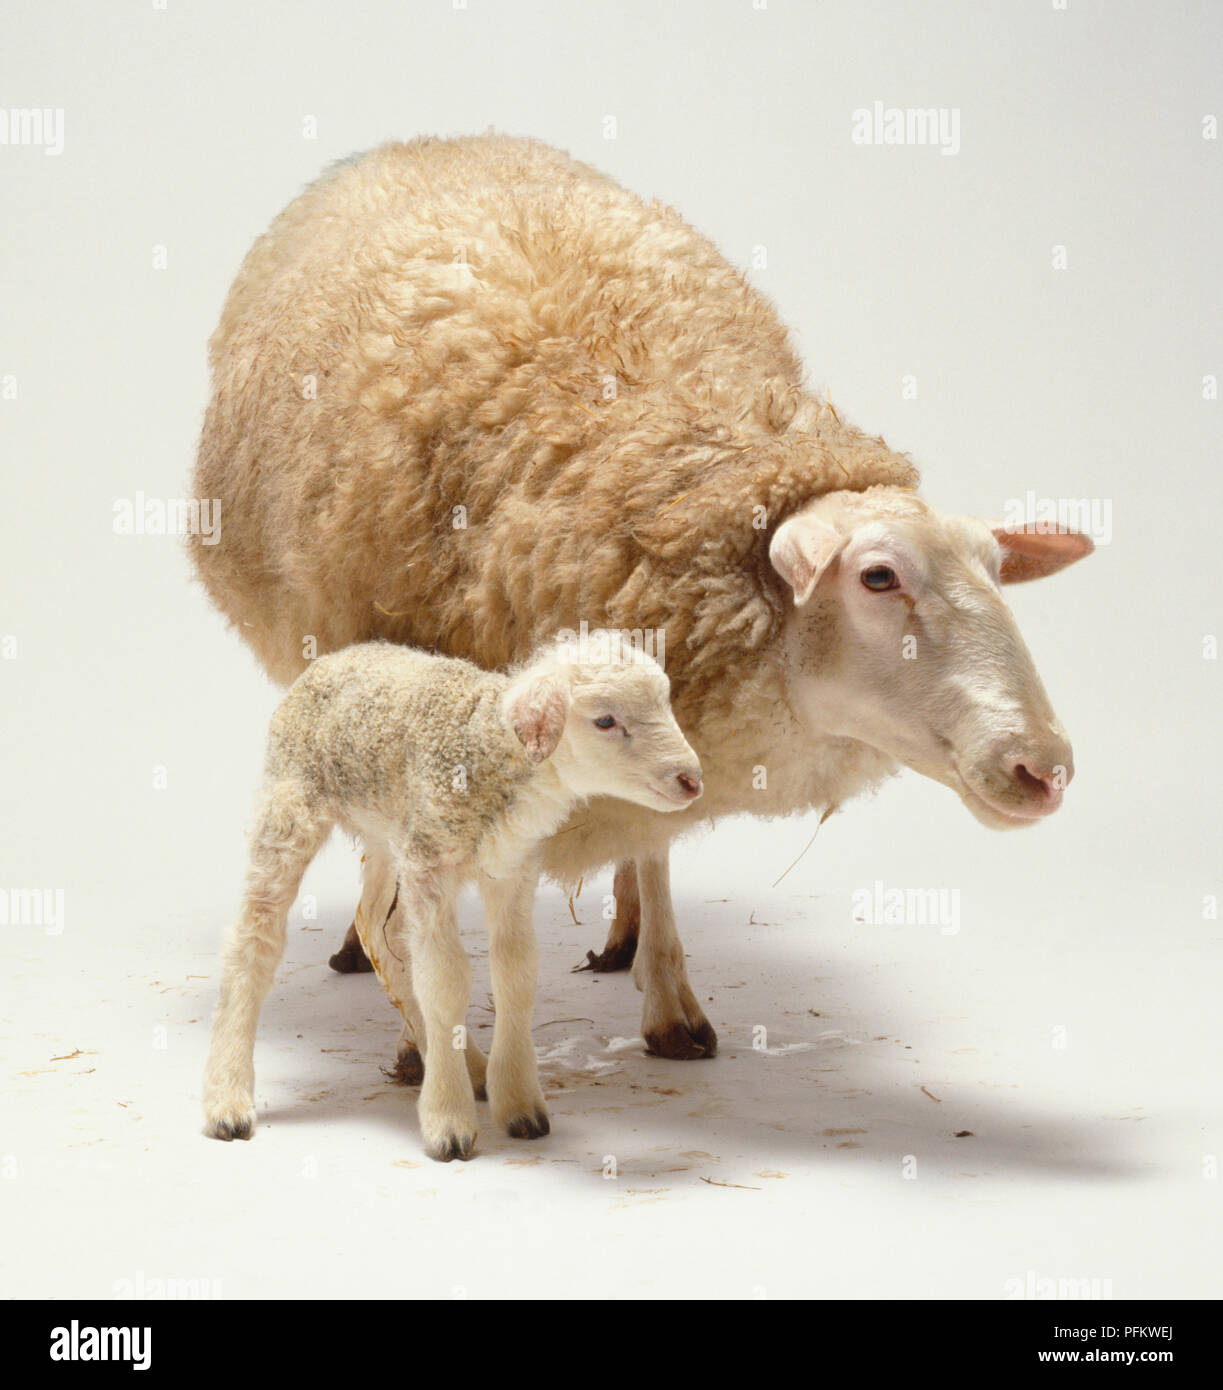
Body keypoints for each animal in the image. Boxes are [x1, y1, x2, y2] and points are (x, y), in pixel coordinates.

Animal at [190, 134, 1094, 1070]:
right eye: (878, 576)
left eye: (995, 568)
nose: (1042, 767)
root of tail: (424, 141)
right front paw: (425, 1041)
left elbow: (654, 842)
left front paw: (668, 1002)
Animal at [202, 633, 701, 1161]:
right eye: (605, 720)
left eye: (665, 702)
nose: (692, 780)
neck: (487, 745)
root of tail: (338, 657)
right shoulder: (431, 866)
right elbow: (444, 980)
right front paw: (449, 1122)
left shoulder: (512, 868)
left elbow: (515, 974)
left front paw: (518, 1103)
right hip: (291, 807)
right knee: (254, 939)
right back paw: (227, 1100)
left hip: (388, 833)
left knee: (378, 930)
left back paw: (473, 1066)